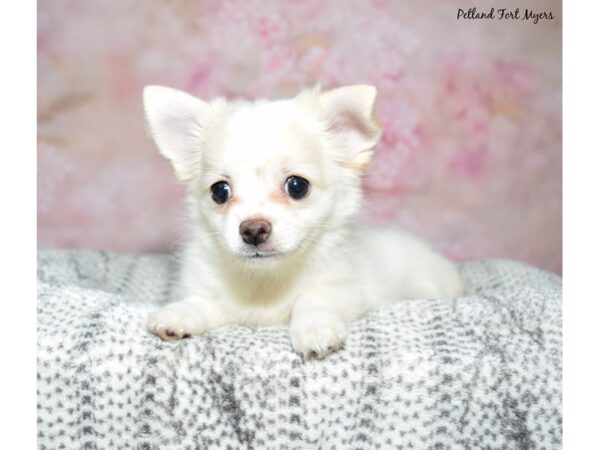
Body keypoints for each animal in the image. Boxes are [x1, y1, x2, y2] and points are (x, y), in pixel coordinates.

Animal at [142, 84, 464, 358]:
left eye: (297, 186)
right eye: (220, 191)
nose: (253, 230)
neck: (267, 282)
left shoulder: (344, 289)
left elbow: (313, 299)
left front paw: (314, 328)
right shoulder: (210, 291)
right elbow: (204, 301)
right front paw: (180, 313)